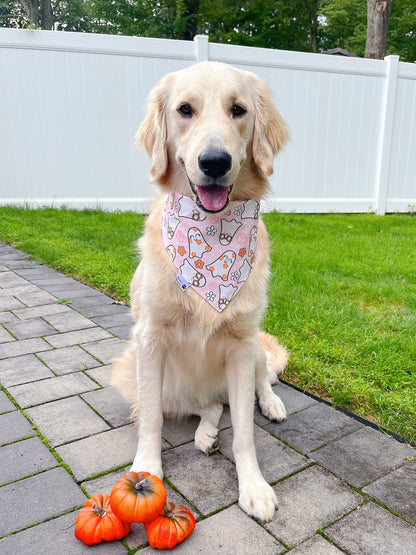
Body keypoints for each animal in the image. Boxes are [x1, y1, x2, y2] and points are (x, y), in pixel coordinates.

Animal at [113, 63, 290, 524]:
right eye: (185, 110)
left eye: (238, 110)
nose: (214, 162)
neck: (212, 234)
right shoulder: (150, 340)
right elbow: (151, 421)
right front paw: (145, 469)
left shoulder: (242, 346)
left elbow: (245, 431)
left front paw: (254, 487)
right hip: (152, 377)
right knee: (206, 405)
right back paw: (206, 432)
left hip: (254, 350)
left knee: (258, 384)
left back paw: (271, 404)